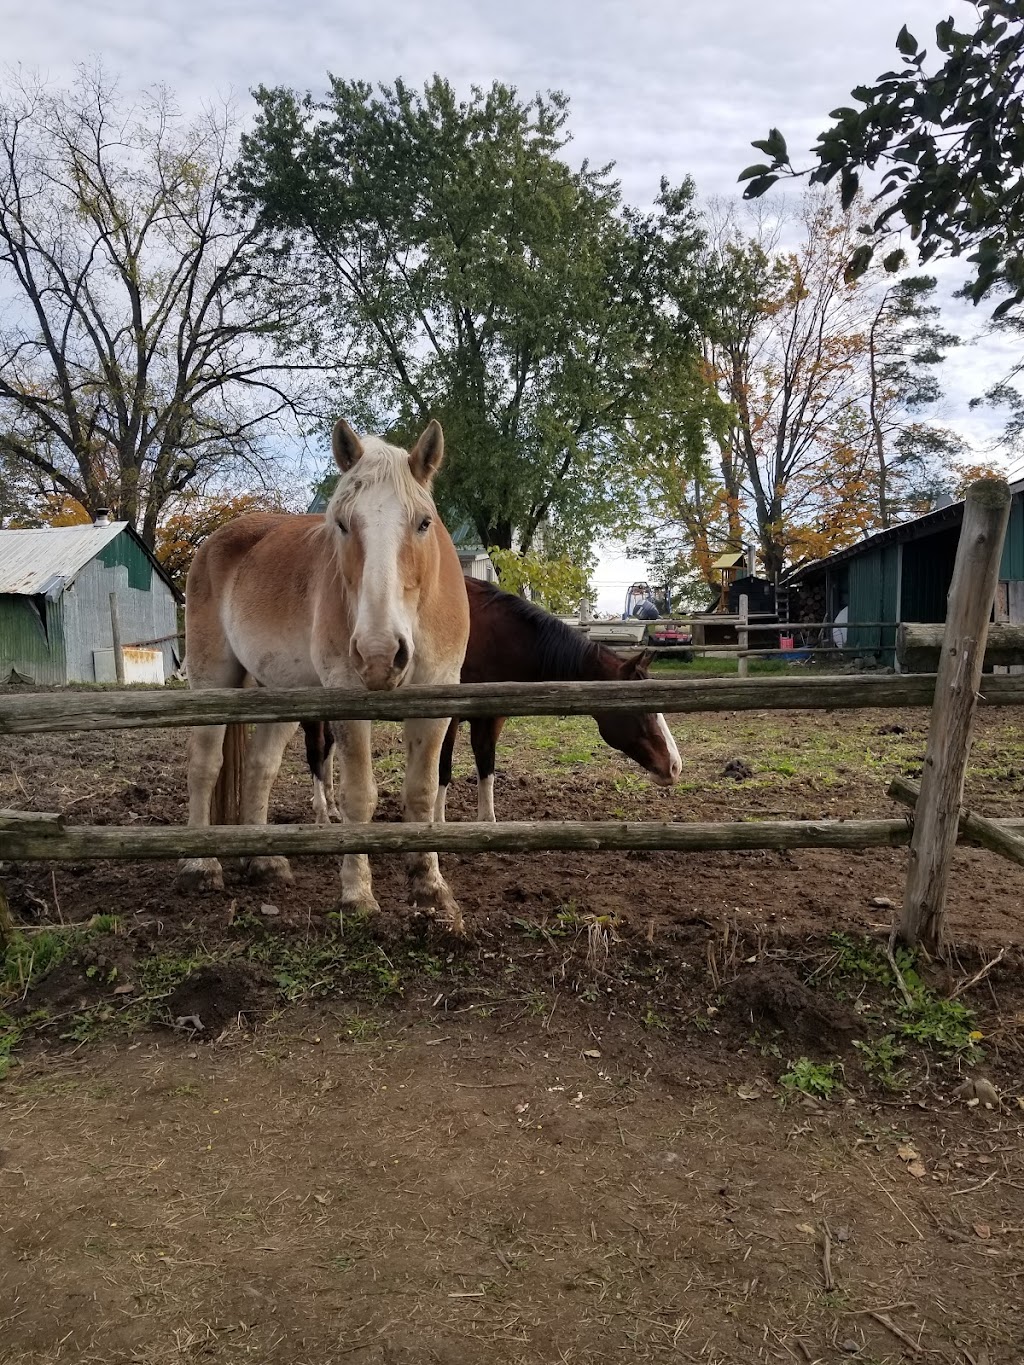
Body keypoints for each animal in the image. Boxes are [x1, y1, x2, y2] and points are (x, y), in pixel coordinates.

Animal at [177, 414, 472, 928]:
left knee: (260, 768)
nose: (379, 654)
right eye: (342, 524)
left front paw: (430, 888)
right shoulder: (346, 697)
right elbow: (358, 797)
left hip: (279, 692)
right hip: (210, 680)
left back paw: (264, 862)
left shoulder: (435, 698)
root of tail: (217, 540)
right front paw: (357, 893)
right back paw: (202, 865)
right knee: (205, 766)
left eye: (423, 523)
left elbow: (419, 793)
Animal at [304, 576, 682, 819]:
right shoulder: (449, 717)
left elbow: (486, 768)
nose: (675, 766)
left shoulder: (492, 716)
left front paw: (488, 824)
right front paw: (437, 823)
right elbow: (442, 771)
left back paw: (334, 806)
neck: (492, 636)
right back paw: (322, 812)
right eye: (643, 711)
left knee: (328, 751)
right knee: (315, 753)